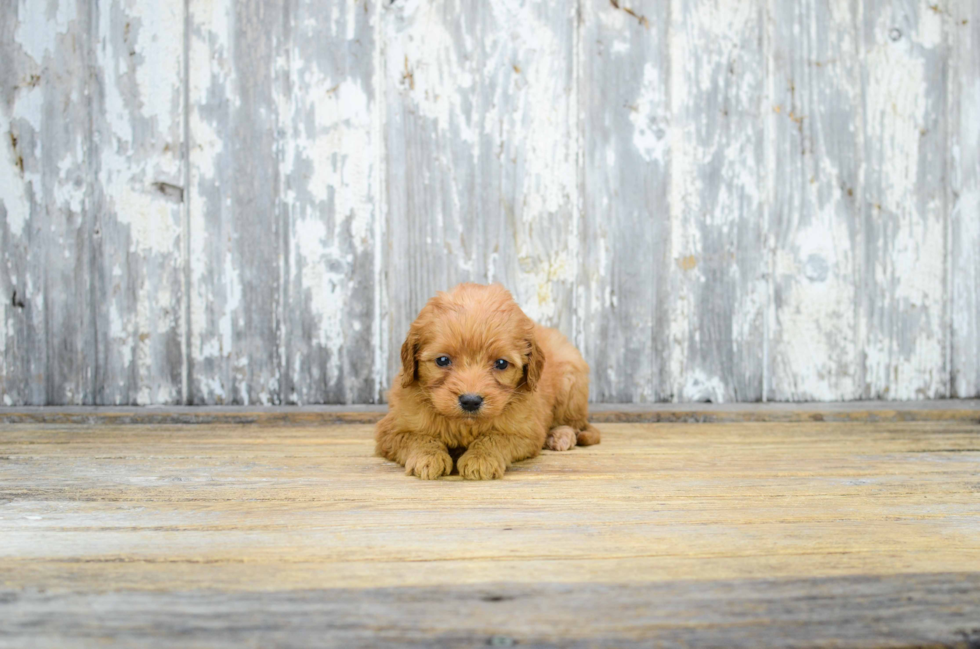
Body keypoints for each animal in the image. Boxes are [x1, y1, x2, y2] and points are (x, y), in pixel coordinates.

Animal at [376, 280, 600, 478]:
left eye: (501, 363)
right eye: (442, 360)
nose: (470, 401)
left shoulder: (524, 431)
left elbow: (494, 438)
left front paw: (480, 459)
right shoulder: (392, 428)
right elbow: (419, 437)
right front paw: (427, 457)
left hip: (571, 384)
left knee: (574, 423)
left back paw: (560, 436)